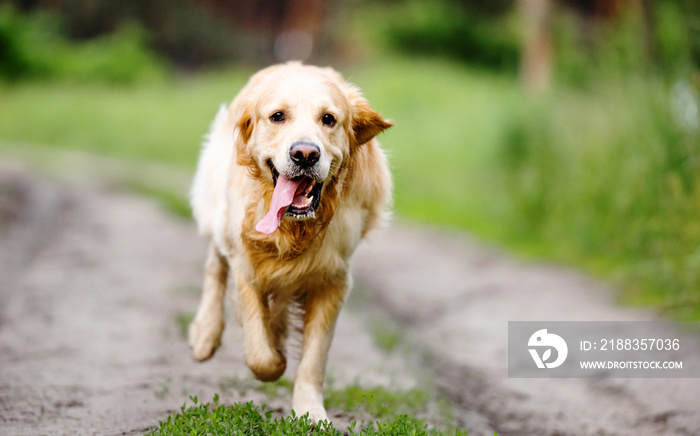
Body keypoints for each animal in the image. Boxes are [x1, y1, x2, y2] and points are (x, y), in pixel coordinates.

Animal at [189, 61, 392, 418]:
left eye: (329, 119)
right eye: (278, 116)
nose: (305, 154)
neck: (294, 228)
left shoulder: (333, 280)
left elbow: (314, 356)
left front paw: (310, 411)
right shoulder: (246, 265)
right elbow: (260, 354)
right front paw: (274, 358)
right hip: (218, 209)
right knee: (215, 263)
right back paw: (205, 333)